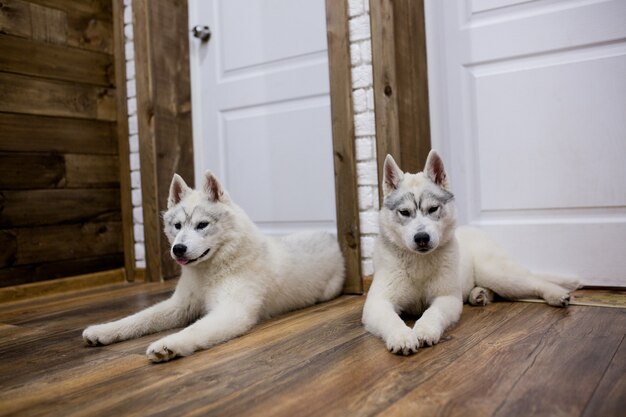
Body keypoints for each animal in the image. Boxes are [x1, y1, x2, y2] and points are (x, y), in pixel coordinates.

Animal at [81, 171, 346, 360]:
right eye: (177, 226)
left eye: (202, 225)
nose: (178, 249)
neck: (210, 270)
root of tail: (328, 235)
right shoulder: (179, 306)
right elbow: (138, 318)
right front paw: (104, 330)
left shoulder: (232, 310)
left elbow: (194, 330)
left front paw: (169, 344)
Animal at [360, 150, 576, 354]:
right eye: (404, 212)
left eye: (433, 209)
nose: (422, 238)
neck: (420, 261)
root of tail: (476, 230)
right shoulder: (377, 303)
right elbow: (391, 319)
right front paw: (402, 336)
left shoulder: (447, 298)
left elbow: (433, 312)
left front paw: (425, 329)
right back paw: (480, 294)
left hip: (498, 274)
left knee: (535, 282)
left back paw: (556, 294)